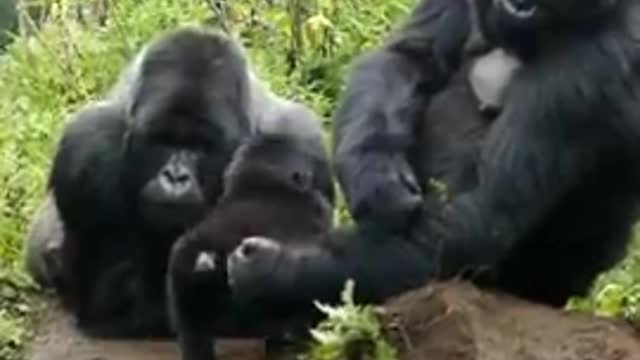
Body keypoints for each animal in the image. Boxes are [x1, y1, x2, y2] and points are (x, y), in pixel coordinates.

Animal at [23, 26, 330, 338]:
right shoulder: (85, 148)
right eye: (164, 140)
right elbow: (107, 302)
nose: (175, 177)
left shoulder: (303, 140)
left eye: (200, 147)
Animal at [226, 0, 640, 310]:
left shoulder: (594, 63)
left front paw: (279, 268)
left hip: (539, 282)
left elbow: (475, 217)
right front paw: (375, 174)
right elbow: (406, 57)